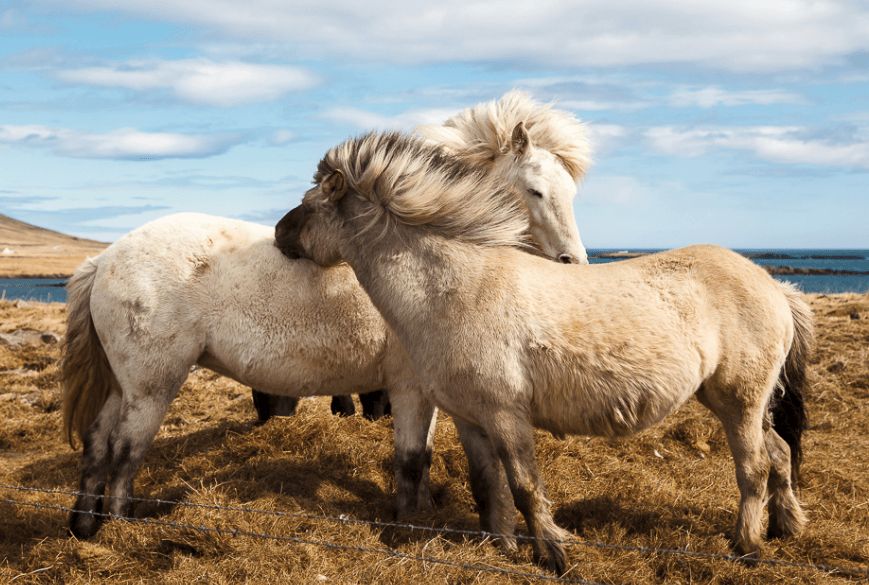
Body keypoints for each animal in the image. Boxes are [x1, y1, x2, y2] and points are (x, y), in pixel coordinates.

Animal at [278, 130, 812, 572]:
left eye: (310, 204)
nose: (280, 233)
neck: (453, 288)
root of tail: (774, 286)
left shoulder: (506, 414)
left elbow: (525, 485)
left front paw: (552, 553)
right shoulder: (470, 418)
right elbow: (487, 485)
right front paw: (501, 545)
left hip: (739, 401)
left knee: (753, 467)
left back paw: (747, 546)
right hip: (738, 401)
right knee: (779, 453)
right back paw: (786, 526)